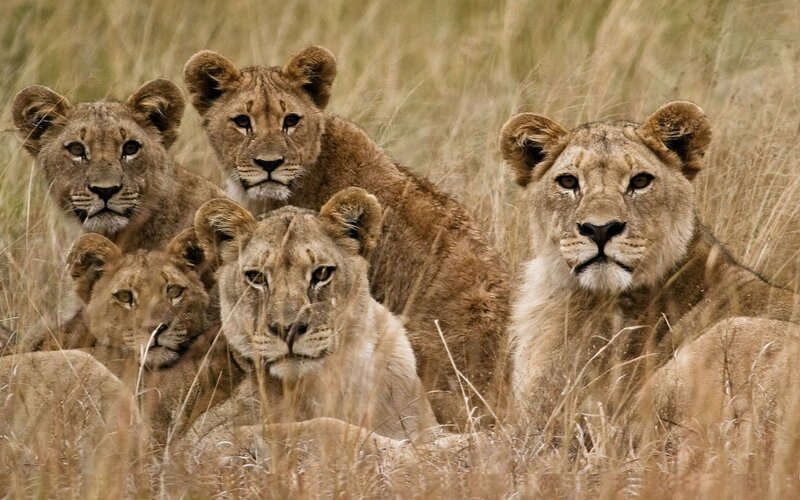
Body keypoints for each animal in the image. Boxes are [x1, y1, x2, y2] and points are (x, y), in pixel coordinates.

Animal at [185, 189, 438, 445]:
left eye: (322, 273)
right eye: (256, 277)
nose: (287, 329)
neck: (333, 380)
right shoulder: (203, 440)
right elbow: (323, 427)